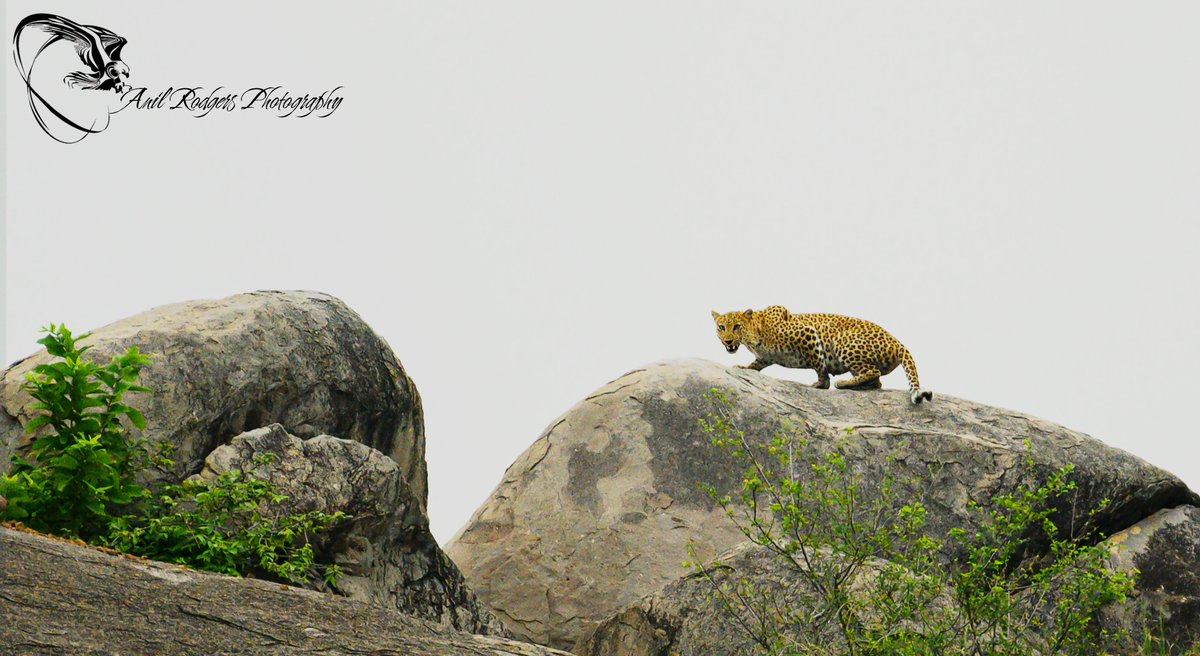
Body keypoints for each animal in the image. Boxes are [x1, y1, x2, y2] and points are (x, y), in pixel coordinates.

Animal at [711, 306, 933, 404]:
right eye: (721, 327)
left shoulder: (808, 333)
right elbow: (757, 363)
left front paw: (821, 383)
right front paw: (744, 367)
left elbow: (819, 362)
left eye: (737, 326)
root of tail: (898, 342)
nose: (728, 341)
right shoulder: (765, 356)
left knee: (873, 372)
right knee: (877, 382)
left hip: (843, 343)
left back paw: (842, 383)